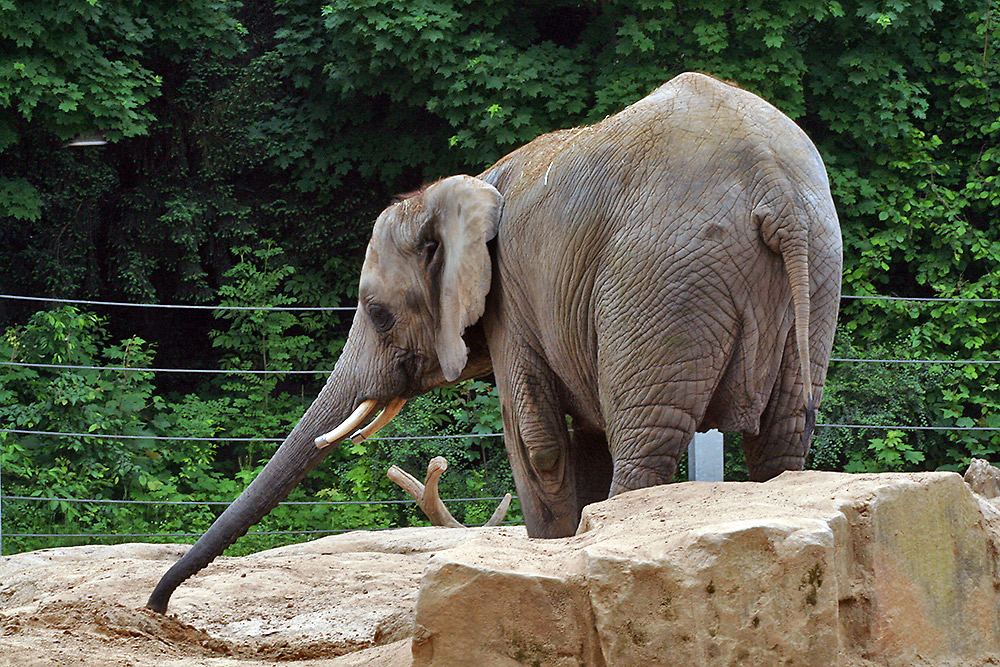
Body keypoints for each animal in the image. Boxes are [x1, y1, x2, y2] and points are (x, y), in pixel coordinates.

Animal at [143, 70, 844, 612]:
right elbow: (581, 441)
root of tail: (772, 186)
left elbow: (538, 443)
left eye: (378, 314)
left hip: (663, 278)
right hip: (812, 271)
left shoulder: (512, 301)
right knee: (784, 435)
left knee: (645, 443)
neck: (461, 189)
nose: (160, 608)